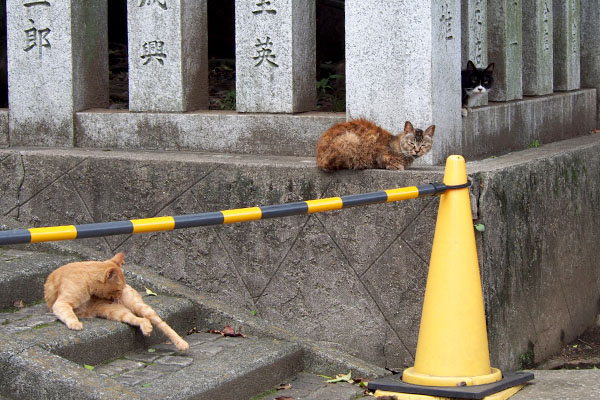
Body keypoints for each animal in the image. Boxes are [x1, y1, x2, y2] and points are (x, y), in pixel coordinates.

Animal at [44, 253, 189, 350]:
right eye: (118, 289)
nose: (120, 295)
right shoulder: (61, 303)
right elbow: (69, 313)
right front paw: (75, 323)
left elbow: (69, 313)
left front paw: (75, 324)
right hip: (113, 311)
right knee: (137, 318)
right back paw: (146, 327)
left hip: (137, 306)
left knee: (162, 324)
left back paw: (182, 344)